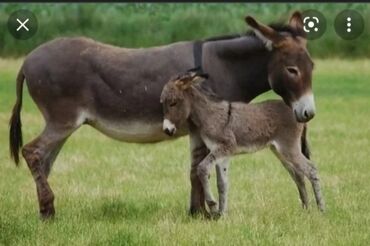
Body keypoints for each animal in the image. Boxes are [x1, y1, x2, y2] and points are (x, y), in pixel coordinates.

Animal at [160, 71, 326, 217]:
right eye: (163, 103)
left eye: (173, 103)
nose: (167, 130)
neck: (209, 115)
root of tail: (297, 114)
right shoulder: (222, 154)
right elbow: (222, 184)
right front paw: (222, 215)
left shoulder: (225, 147)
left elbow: (202, 168)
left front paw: (213, 206)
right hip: (280, 151)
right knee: (298, 175)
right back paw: (306, 209)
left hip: (289, 148)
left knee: (311, 169)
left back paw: (321, 209)